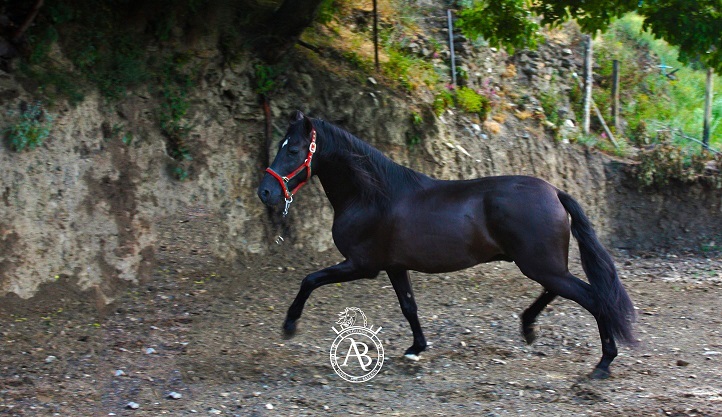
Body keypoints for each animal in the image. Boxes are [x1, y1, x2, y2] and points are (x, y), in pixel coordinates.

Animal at [257, 111, 636, 379]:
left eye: (293, 150)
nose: (266, 192)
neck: (371, 196)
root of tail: (555, 192)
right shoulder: (394, 267)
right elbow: (409, 307)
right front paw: (416, 348)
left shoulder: (361, 265)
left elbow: (310, 279)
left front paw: (289, 325)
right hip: (543, 265)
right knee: (558, 292)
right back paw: (529, 328)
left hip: (540, 264)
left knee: (591, 297)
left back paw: (602, 364)